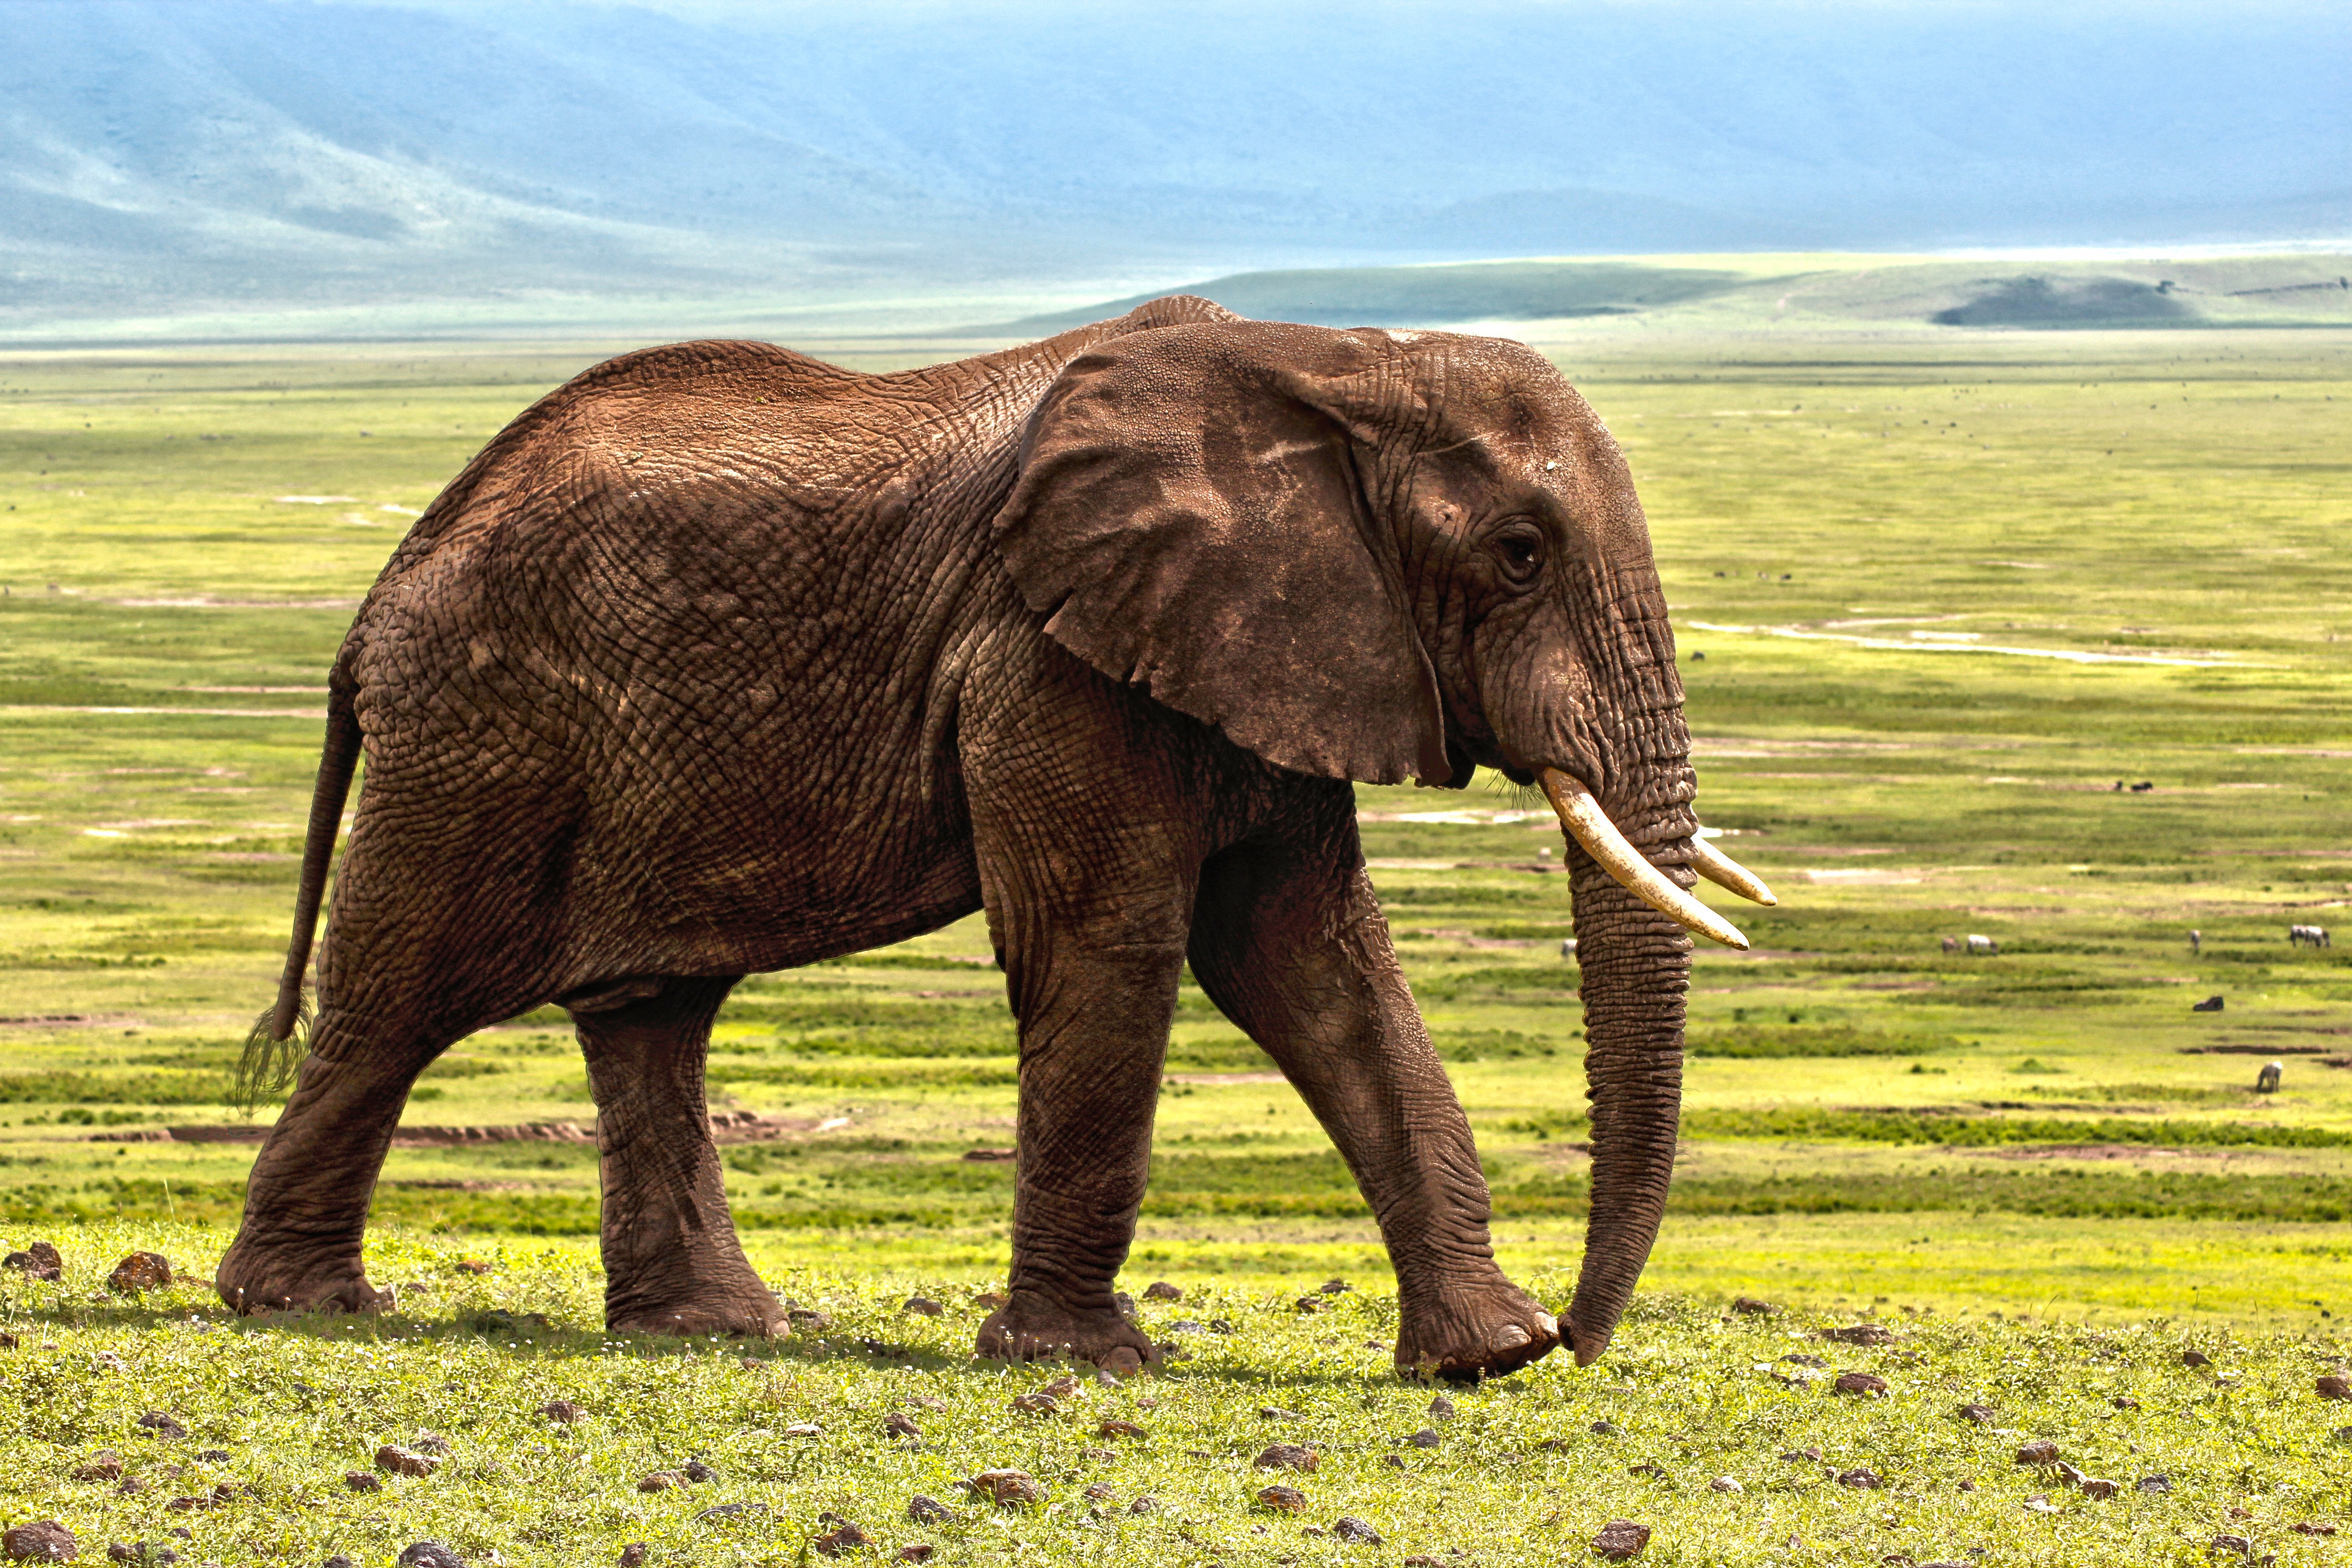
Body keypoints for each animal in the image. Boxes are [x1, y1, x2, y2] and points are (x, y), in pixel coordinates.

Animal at [221, 291, 1769, 1373]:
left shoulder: (1268, 648)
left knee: (650, 1012)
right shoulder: (1046, 653)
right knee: (398, 995)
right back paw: (303, 1302)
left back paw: (710, 1328)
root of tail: (384, 586)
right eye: (1518, 554)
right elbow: (1111, 945)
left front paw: (1481, 1356)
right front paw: (1086, 1361)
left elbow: (1311, 962)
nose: (1581, 1334)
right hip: (479, 731)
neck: (1334, 360)